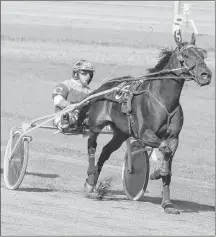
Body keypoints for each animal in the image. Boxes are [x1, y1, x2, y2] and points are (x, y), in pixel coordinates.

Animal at [78, 30, 212, 214]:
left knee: (105, 152)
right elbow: (165, 150)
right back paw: (90, 180)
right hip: (95, 126)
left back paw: (92, 184)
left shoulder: (174, 137)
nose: (206, 75)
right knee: (92, 146)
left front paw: (167, 202)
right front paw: (157, 172)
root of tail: (103, 88)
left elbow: (169, 156)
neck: (164, 100)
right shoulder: (145, 134)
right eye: (186, 55)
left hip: (120, 133)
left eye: (202, 54)